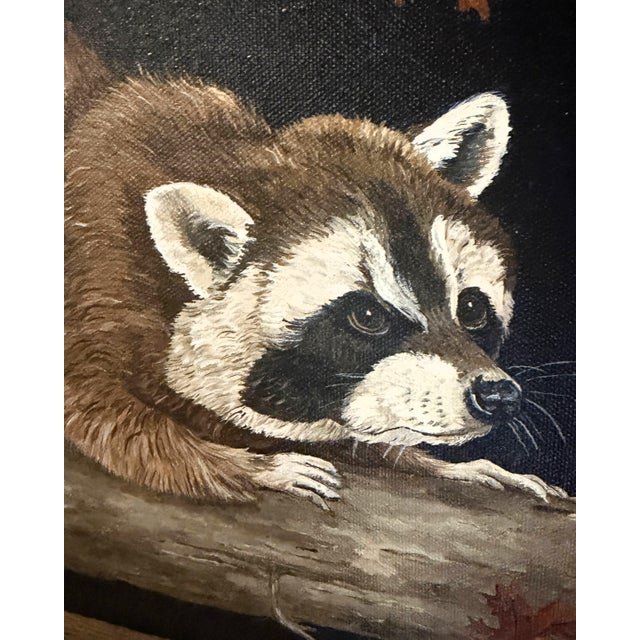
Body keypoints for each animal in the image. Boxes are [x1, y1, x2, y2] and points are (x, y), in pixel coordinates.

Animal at [65, 25, 566, 509]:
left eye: (471, 308)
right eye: (367, 316)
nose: (498, 394)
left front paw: (444, 465)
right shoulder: (94, 271)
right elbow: (106, 420)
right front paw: (256, 467)